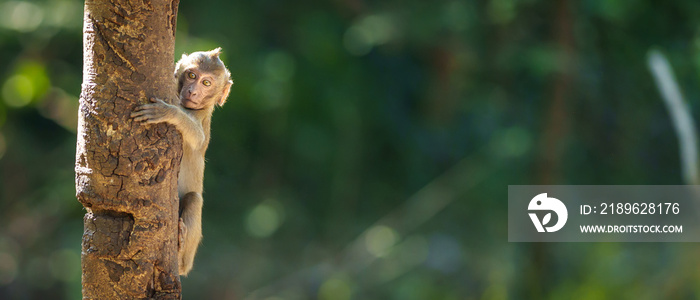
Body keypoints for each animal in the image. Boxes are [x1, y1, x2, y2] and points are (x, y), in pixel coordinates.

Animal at [133, 48, 237, 276]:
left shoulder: (201, 122)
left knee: (194, 199)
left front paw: (168, 112)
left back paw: (180, 254)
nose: (193, 91)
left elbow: (196, 136)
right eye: (191, 75)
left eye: (206, 83)